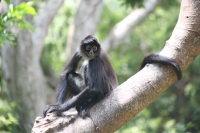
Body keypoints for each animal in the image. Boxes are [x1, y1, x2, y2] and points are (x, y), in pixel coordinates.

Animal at [43, 34, 182, 118]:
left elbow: (94, 88)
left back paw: (90, 103)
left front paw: (60, 107)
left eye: (94, 48)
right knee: (71, 76)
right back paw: (80, 106)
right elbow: (66, 73)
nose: (92, 52)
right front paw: (57, 105)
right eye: (88, 47)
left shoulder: (96, 59)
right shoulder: (79, 52)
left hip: (105, 87)